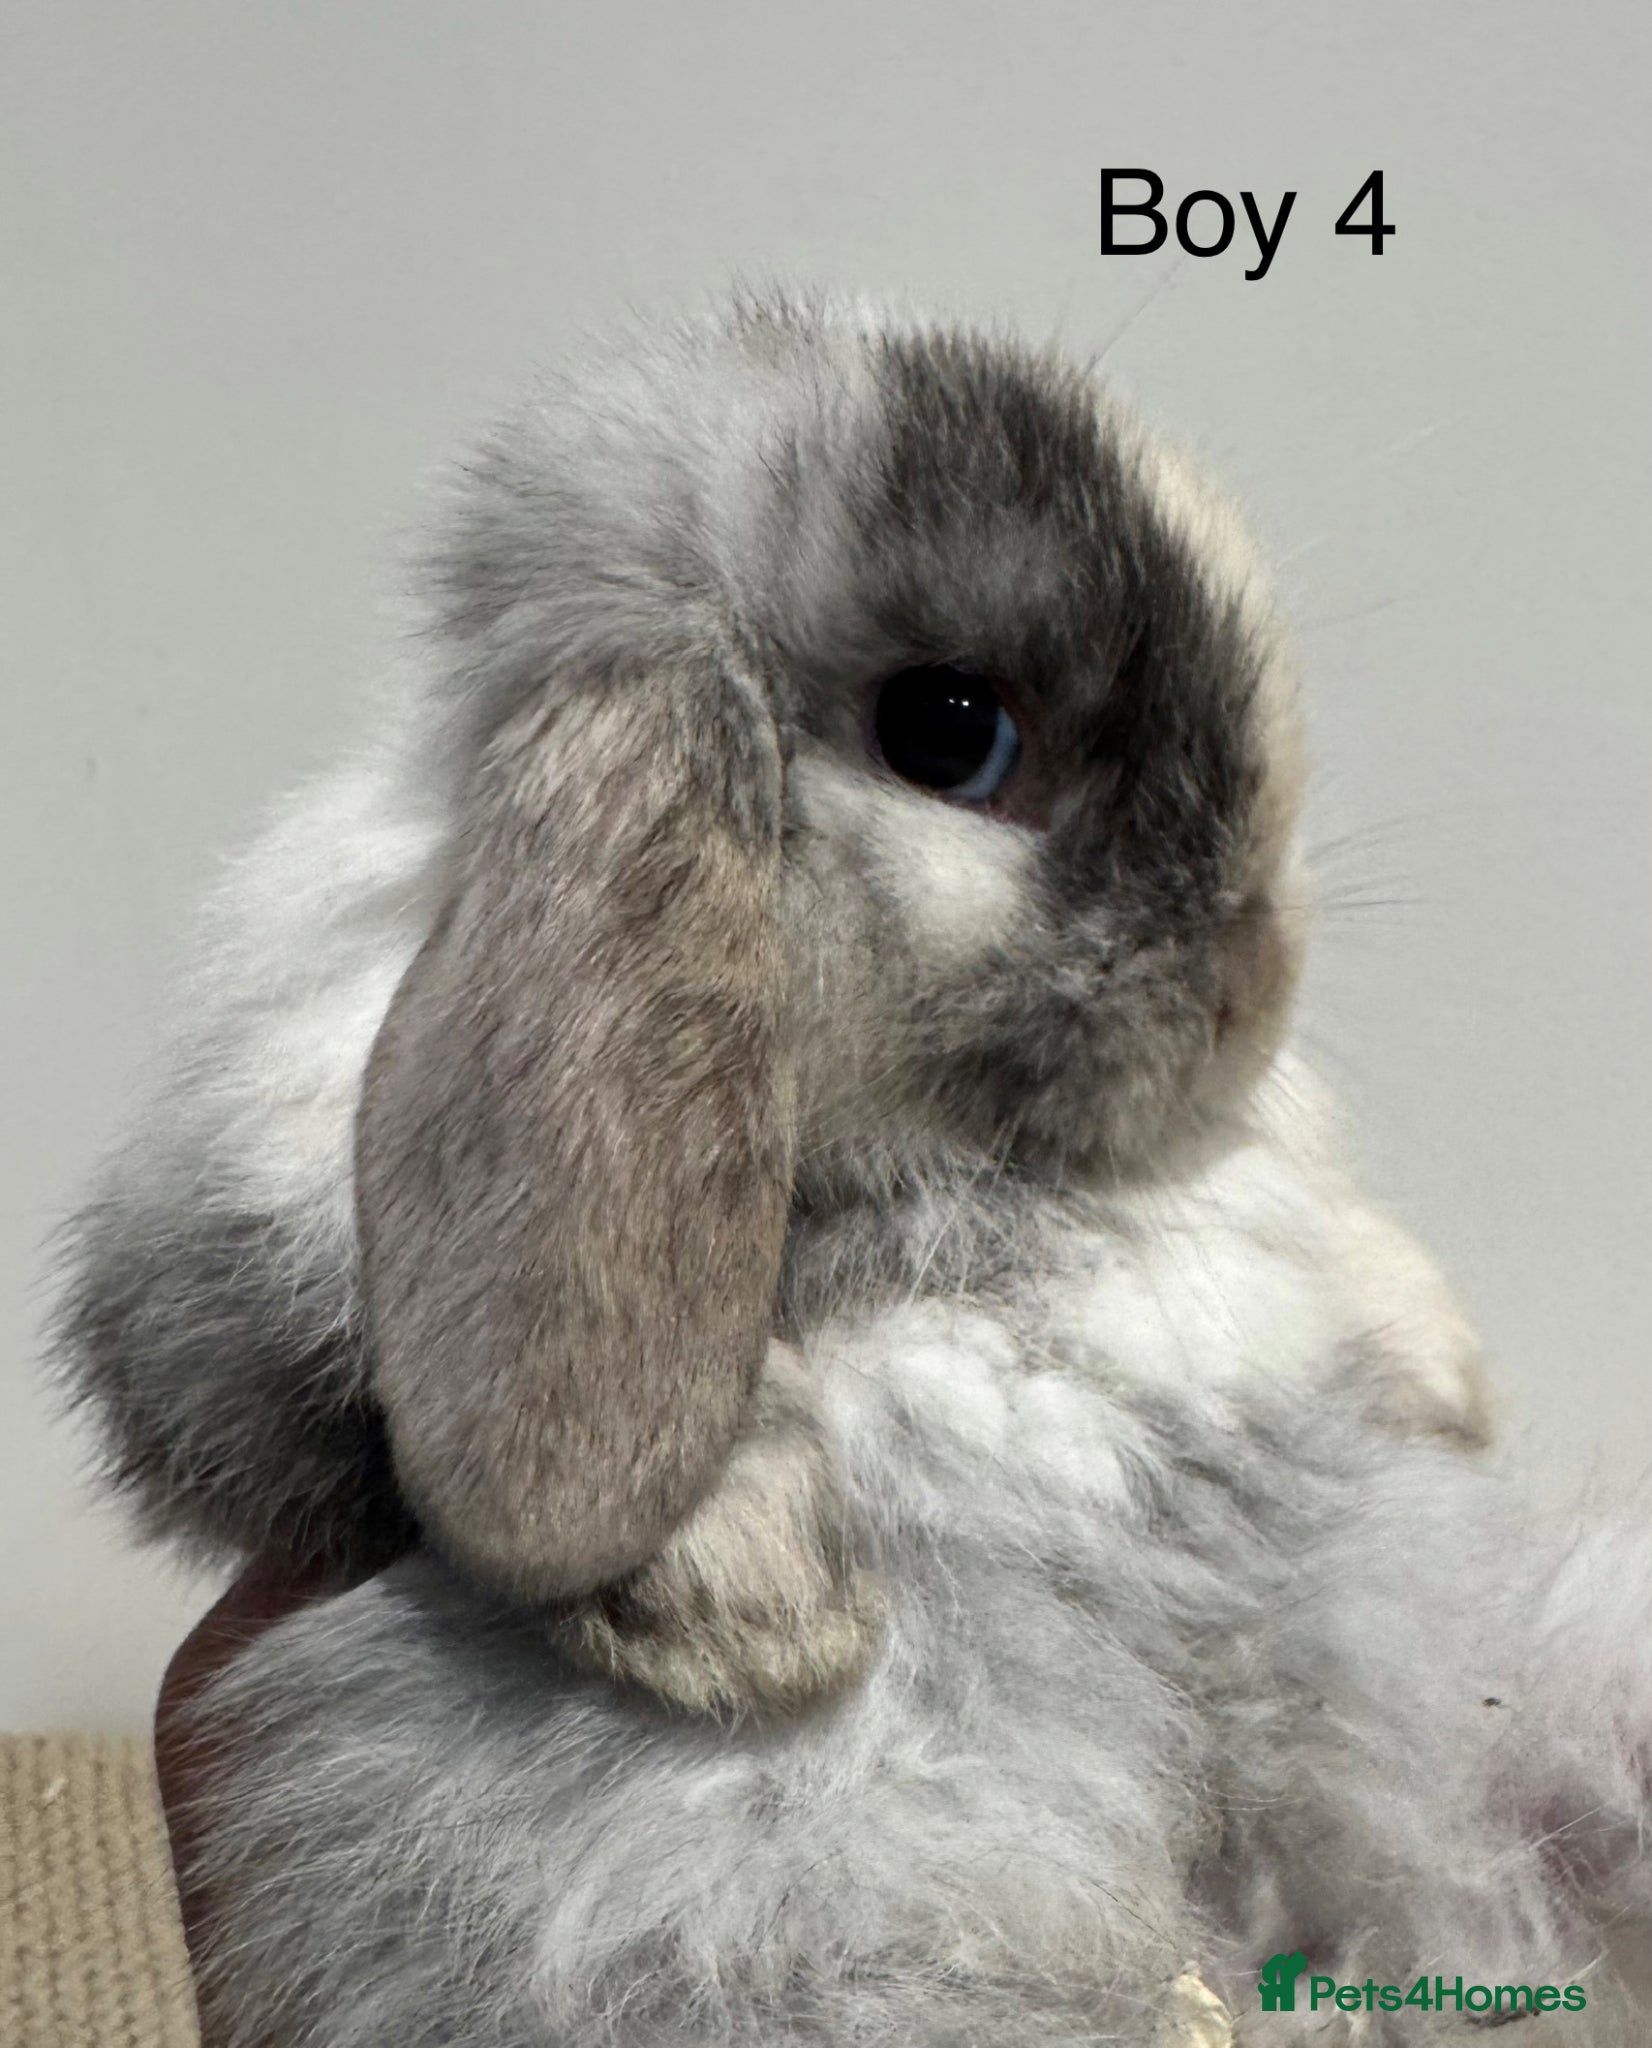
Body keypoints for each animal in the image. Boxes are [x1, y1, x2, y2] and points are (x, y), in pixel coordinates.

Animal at [53, 292, 1650, 2046]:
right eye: (953, 734)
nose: (1256, 980)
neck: (970, 1172)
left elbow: (1331, 1248)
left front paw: (1450, 1379)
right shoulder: (239, 1305)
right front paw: (766, 1620)